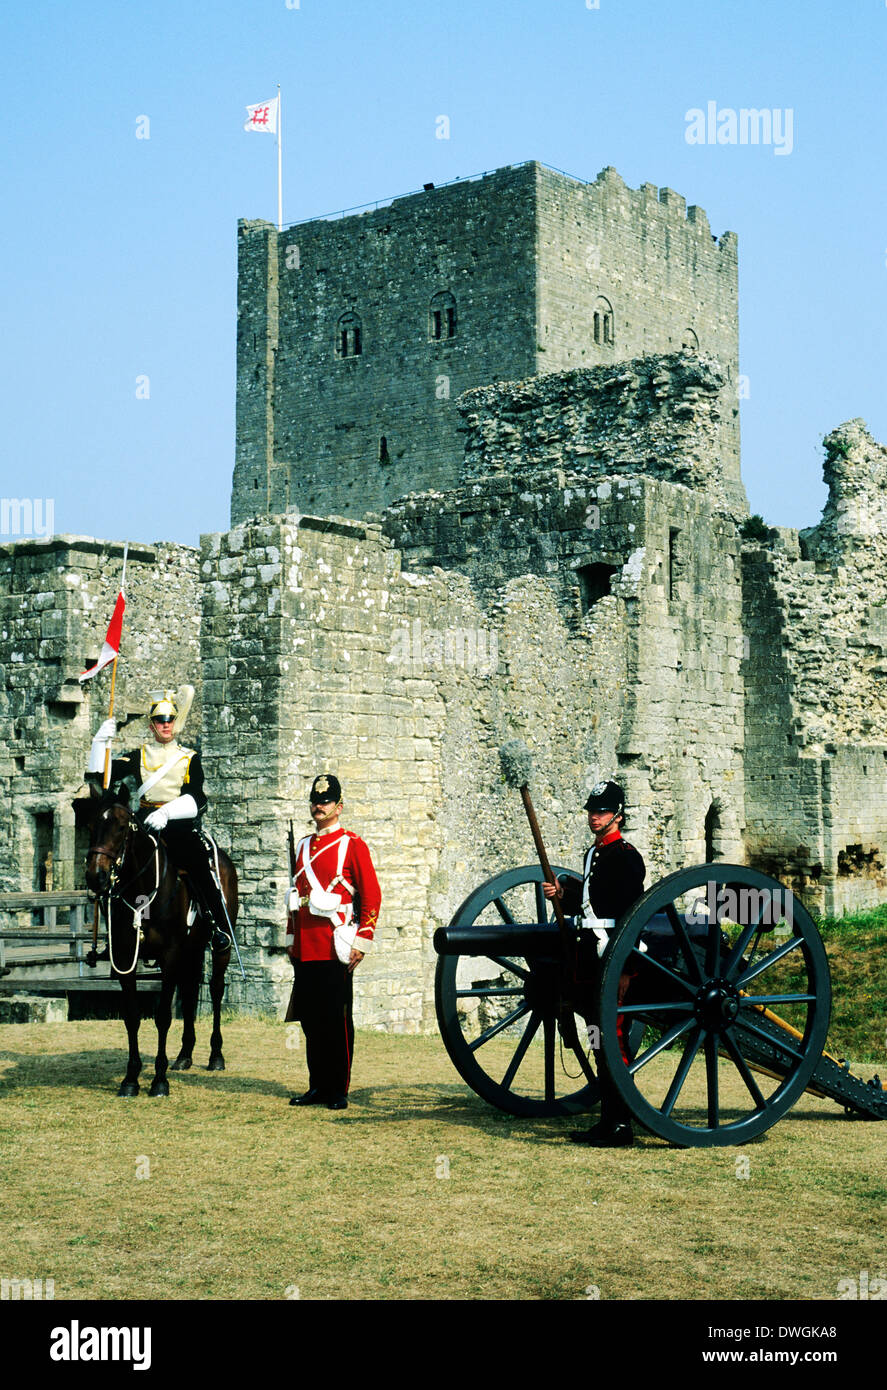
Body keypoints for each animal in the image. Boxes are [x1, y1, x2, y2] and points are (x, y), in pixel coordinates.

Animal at [83, 783, 239, 1095]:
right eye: (92, 825)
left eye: (121, 827)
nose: (96, 876)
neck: (142, 894)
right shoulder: (126, 958)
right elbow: (132, 1017)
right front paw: (131, 1079)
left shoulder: (169, 957)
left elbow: (163, 1016)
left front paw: (159, 1080)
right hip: (192, 949)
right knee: (191, 991)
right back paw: (184, 1055)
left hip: (219, 947)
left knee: (216, 990)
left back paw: (216, 1055)